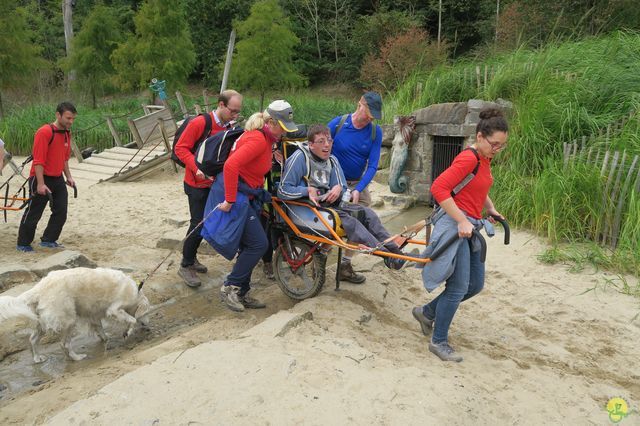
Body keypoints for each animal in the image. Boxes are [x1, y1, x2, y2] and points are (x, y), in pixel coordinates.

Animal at [0, 266, 150, 362]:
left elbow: (101, 329)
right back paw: (77, 357)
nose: (148, 327)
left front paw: (106, 339)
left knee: (33, 339)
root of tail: (39, 288)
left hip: (42, 322)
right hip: (69, 320)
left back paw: (38, 358)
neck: (136, 292)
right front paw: (127, 332)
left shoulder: (94, 314)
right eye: (147, 313)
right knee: (64, 344)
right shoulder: (114, 310)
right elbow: (132, 320)